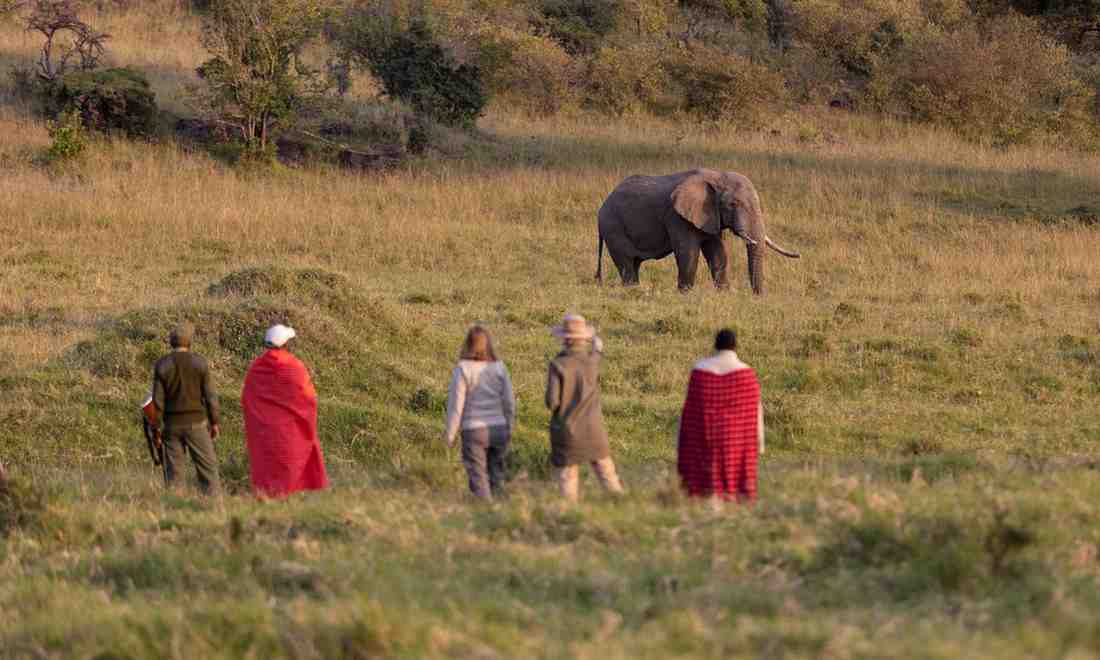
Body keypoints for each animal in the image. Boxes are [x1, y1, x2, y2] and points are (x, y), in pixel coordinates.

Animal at [596, 169, 800, 295]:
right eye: (733, 204)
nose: (757, 296)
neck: (717, 176)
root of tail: (602, 206)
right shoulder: (677, 216)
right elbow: (688, 252)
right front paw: (685, 293)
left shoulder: (711, 216)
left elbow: (718, 253)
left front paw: (723, 293)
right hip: (613, 227)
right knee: (626, 264)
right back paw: (632, 289)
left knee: (634, 264)